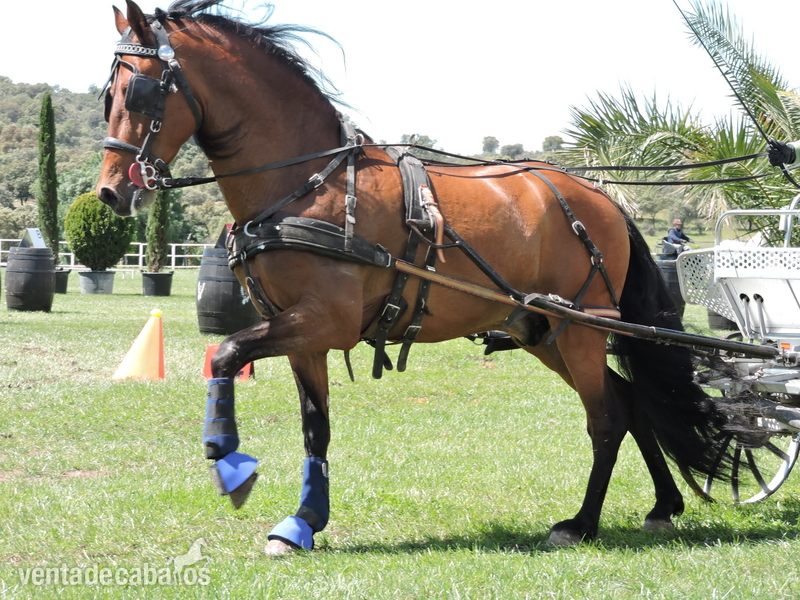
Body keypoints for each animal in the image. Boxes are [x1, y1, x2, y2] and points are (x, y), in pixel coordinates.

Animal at [97, 0, 737, 555]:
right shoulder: (300, 333)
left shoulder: (323, 322)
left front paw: (229, 465)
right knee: (631, 401)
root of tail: (598, 197)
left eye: (140, 90)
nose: (110, 191)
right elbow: (314, 428)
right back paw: (663, 505)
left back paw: (581, 524)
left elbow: (227, 352)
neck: (309, 183)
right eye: (108, 95)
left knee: (606, 419)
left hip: (579, 329)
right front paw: (303, 523)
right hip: (542, 330)